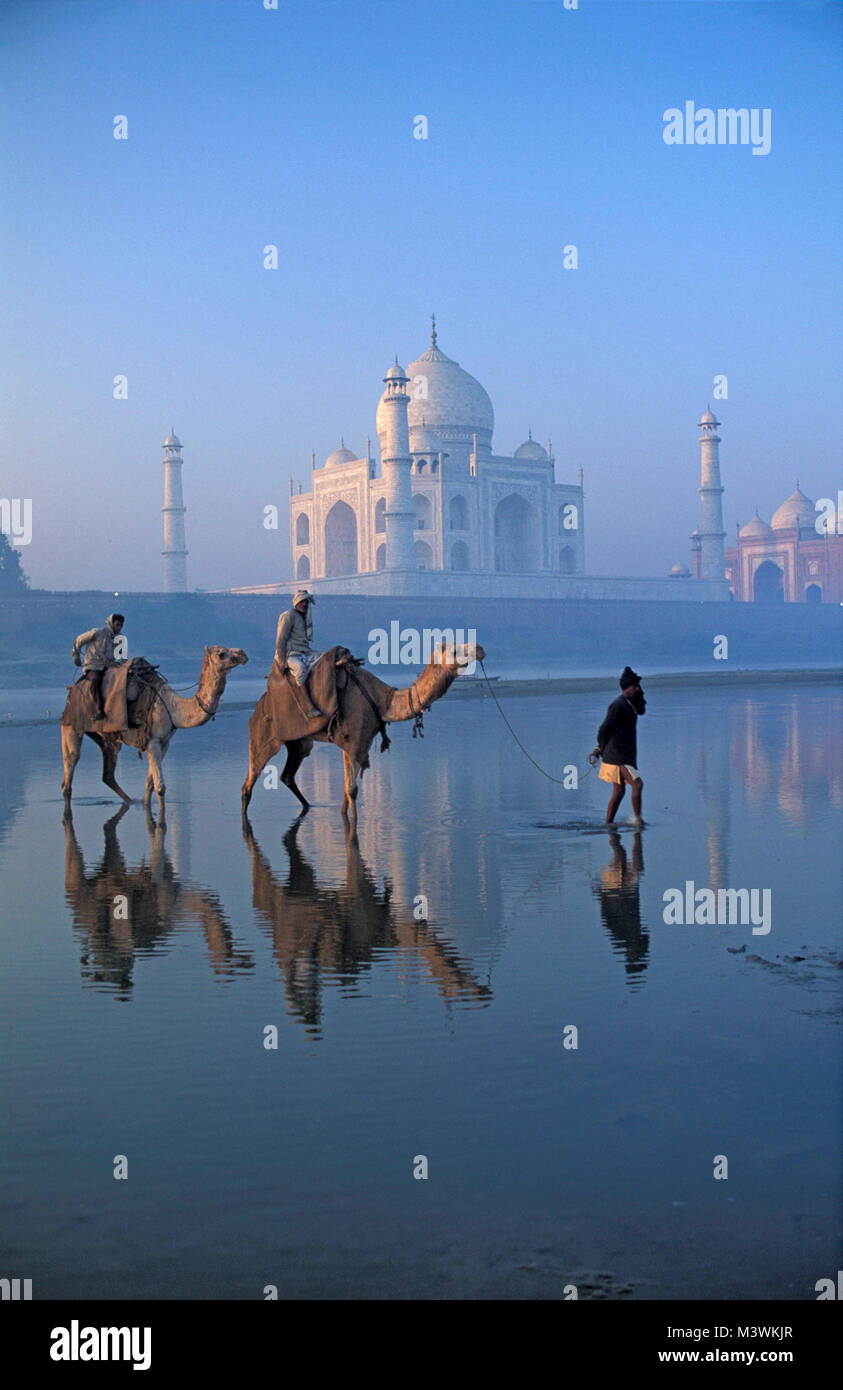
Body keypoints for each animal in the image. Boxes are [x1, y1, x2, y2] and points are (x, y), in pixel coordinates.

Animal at [61, 642, 249, 811]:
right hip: (70, 727)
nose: (243, 654)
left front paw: (146, 807)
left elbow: (149, 784)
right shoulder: (152, 742)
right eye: (221, 654)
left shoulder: (164, 743)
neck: (172, 708)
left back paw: (131, 801)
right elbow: (160, 787)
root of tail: (72, 689)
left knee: (107, 773)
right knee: (70, 768)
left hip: (106, 739)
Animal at [240, 636, 486, 817]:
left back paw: (309, 807)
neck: (383, 700)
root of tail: (258, 705)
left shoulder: (362, 742)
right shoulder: (353, 738)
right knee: (249, 782)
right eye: (454, 651)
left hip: (300, 743)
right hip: (264, 736)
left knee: (288, 775)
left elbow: (346, 792)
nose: (479, 648)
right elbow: (352, 790)